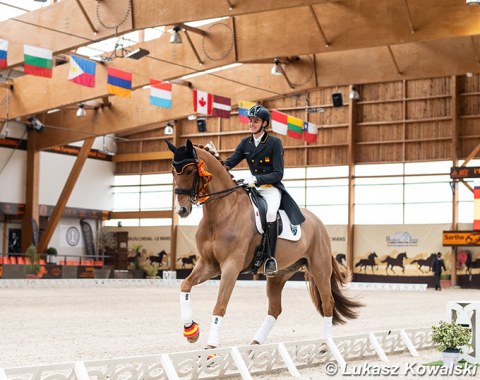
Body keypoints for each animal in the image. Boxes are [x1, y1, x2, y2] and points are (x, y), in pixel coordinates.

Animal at [167, 140, 362, 350]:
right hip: (279, 274)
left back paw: (327, 345)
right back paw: (255, 343)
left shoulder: (231, 266)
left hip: (320, 268)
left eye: (189, 170)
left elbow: (220, 304)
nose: (182, 209)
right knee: (275, 308)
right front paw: (191, 331)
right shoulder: (209, 264)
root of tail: (318, 223)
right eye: (172, 171)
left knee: (327, 303)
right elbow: (185, 285)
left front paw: (211, 347)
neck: (222, 213)